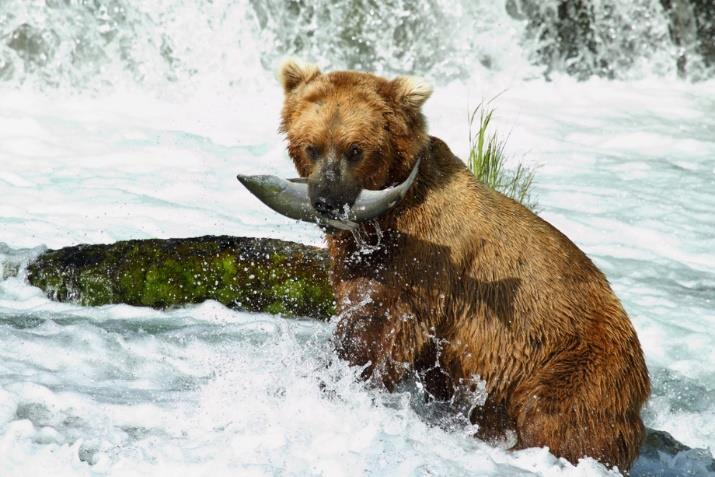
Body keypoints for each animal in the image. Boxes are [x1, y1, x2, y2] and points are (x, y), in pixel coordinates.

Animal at [276, 58, 652, 468]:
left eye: (355, 149)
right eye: (313, 147)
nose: (326, 202)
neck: (385, 217)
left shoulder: (423, 259)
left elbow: (383, 327)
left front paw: (341, 378)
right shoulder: (358, 259)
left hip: (574, 361)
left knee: (560, 418)